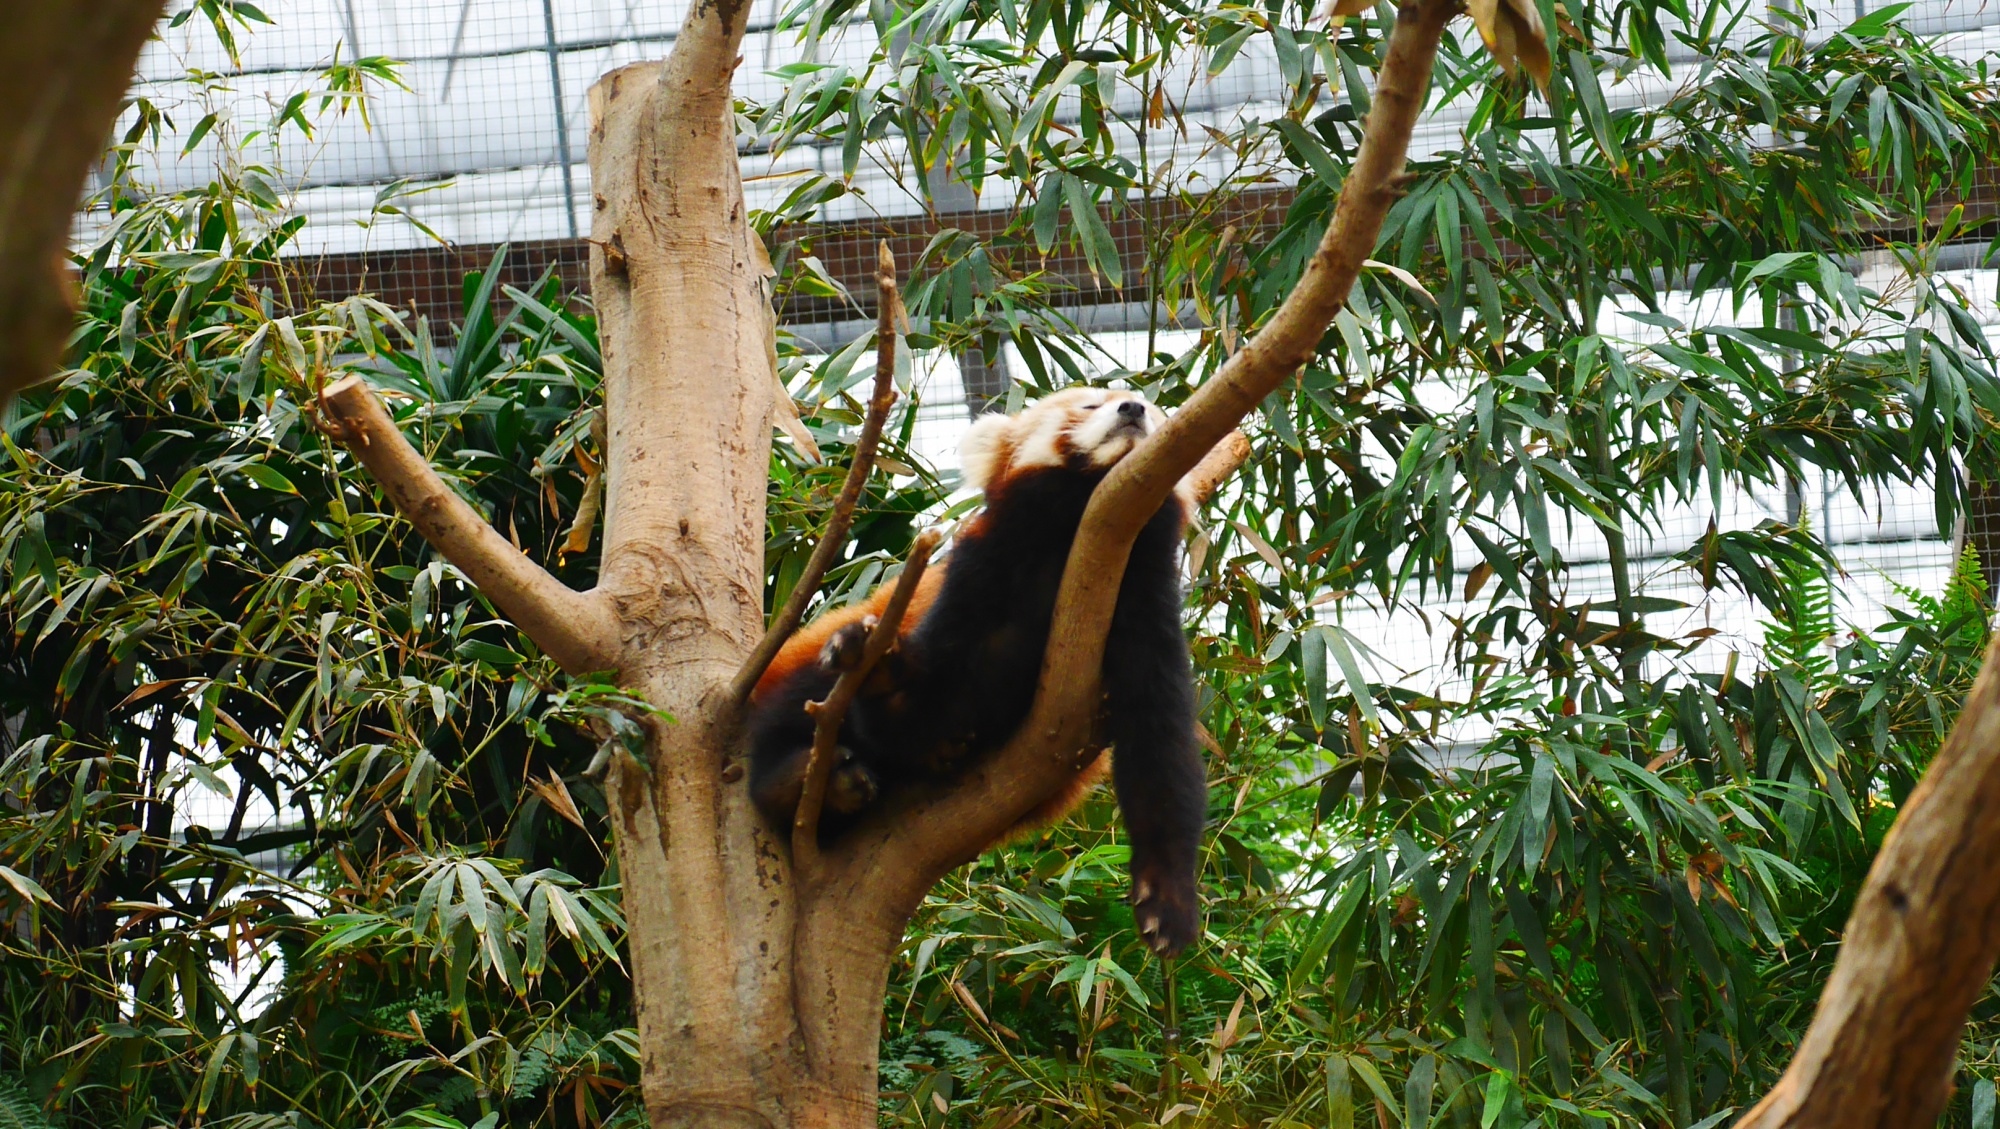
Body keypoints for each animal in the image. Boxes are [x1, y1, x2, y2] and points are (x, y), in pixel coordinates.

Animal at [740, 386, 1192, 952]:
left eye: (1152, 410)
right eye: (1088, 406)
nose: (1132, 408)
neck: (1082, 544)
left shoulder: (1144, 601)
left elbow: (1160, 745)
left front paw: (1166, 893)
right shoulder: (981, 570)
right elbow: (922, 703)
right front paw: (884, 678)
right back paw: (800, 778)